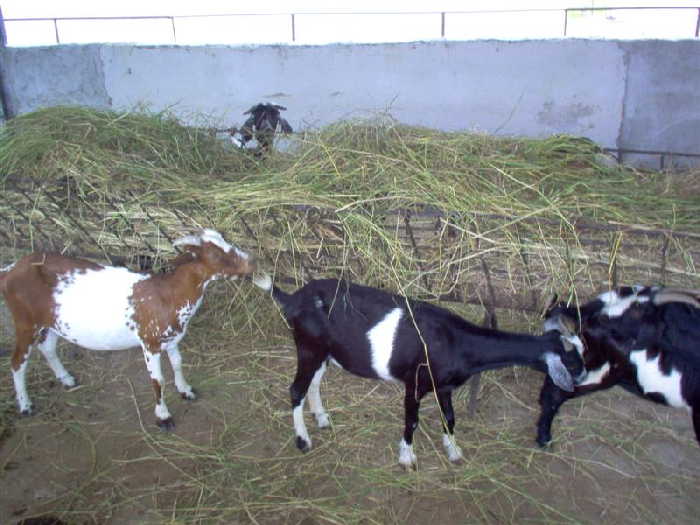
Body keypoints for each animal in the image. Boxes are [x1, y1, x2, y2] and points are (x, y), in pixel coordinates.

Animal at [0, 229, 258, 430]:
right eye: (215, 254)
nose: (252, 262)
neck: (167, 294)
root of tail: (10, 269)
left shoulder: (172, 339)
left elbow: (177, 363)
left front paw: (186, 390)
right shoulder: (149, 342)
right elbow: (157, 380)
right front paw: (163, 417)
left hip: (52, 322)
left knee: (47, 347)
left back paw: (66, 378)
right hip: (25, 321)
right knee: (17, 361)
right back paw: (25, 405)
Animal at [254, 274, 584, 466]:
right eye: (571, 361)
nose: (582, 377)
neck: (456, 341)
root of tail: (292, 298)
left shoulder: (444, 387)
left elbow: (449, 418)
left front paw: (453, 451)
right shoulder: (414, 383)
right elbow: (411, 421)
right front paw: (407, 457)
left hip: (325, 353)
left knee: (313, 384)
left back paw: (322, 419)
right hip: (308, 347)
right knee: (296, 389)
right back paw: (303, 440)